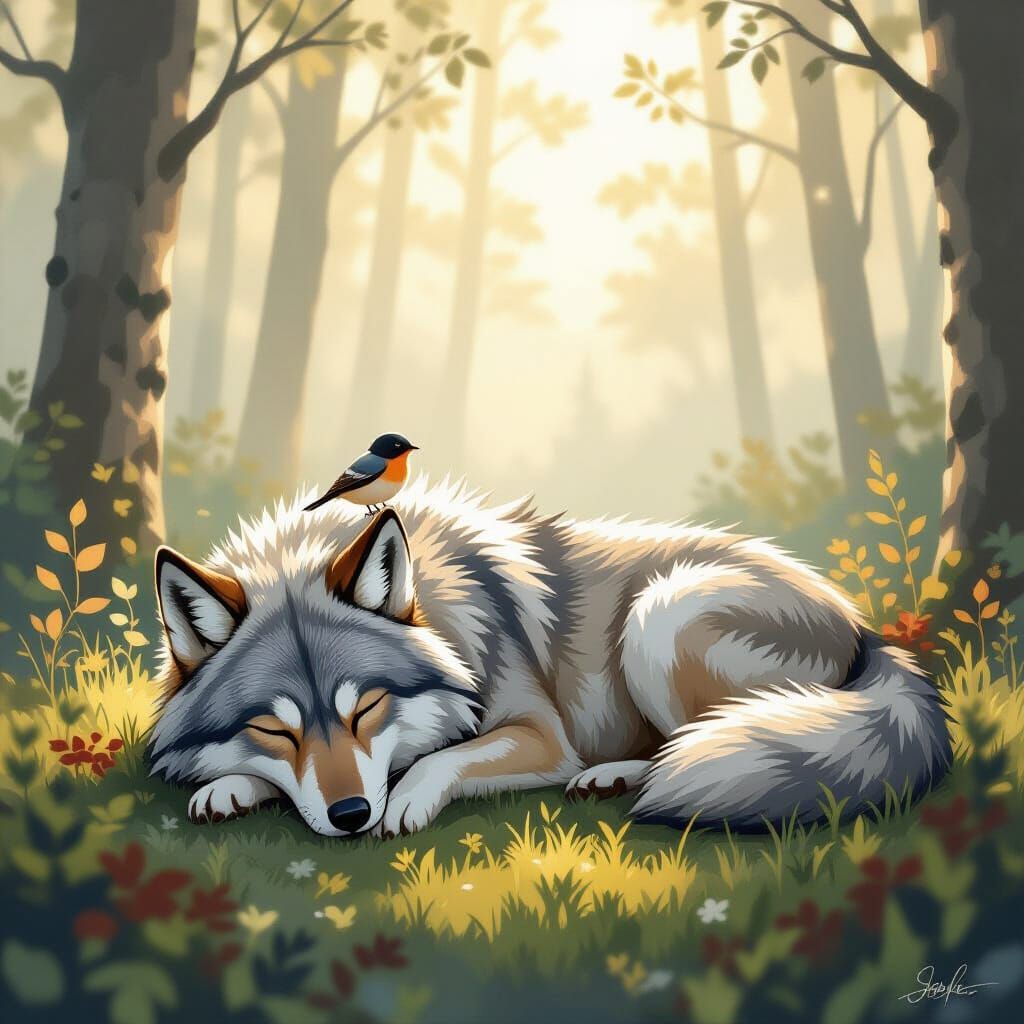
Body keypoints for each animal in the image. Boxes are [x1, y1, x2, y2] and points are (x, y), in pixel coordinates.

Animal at [148, 479, 950, 837]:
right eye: (274, 729)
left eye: (367, 708)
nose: (352, 816)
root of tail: (861, 625)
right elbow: (265, 778)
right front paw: (231, 788)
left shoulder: (540, 734)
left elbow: (443, 759)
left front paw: (404, 799)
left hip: (659, 616)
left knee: (697, 742)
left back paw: (617, 776)